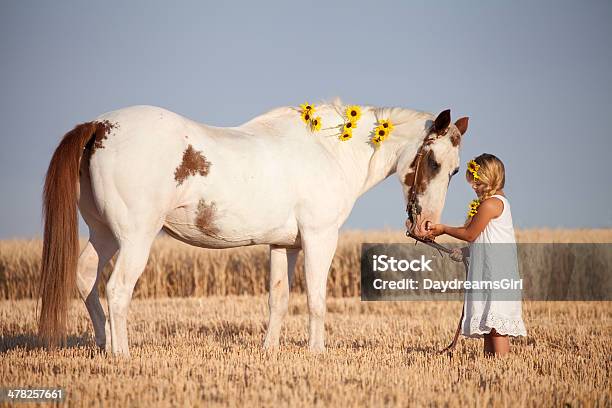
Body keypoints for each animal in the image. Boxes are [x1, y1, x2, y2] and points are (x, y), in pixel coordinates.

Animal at [38, 98, 468, 354]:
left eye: (456, 170)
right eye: (433, 162)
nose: (427, 225)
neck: (329, 151)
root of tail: (99, 126)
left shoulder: (284, 246)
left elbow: (278, 299)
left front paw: (269, 351)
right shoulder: (319, 238)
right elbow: (316, 299)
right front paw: (317, 352)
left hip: (104, 234)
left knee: (86, 279)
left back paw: (103, 347)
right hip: (135, 238)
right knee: (116, 290)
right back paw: (122, 354)